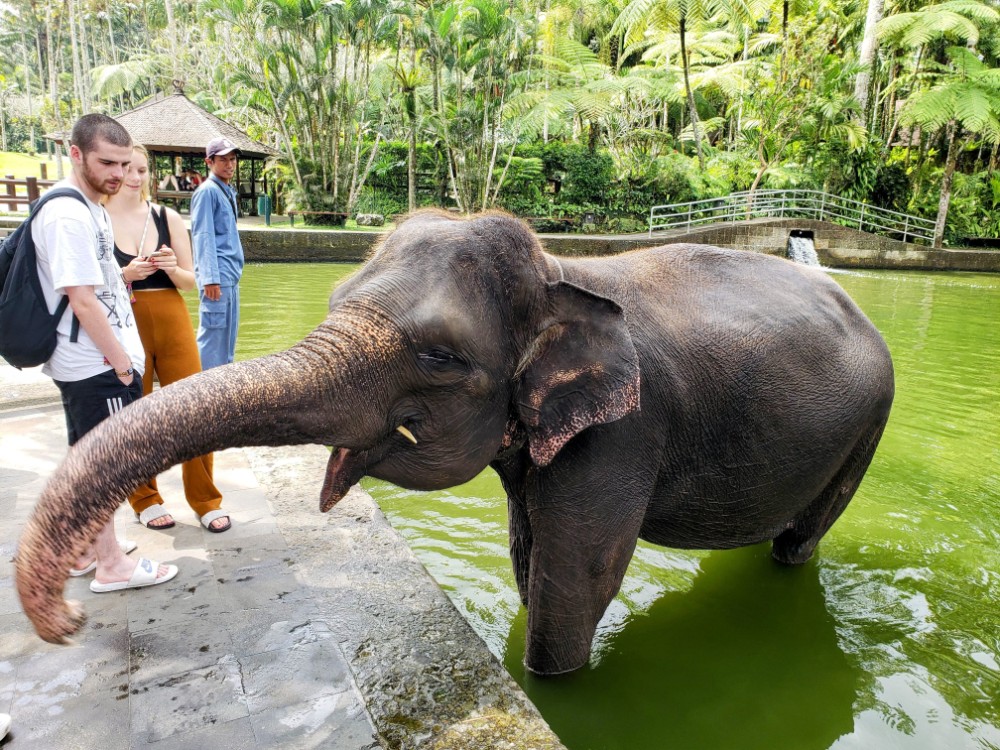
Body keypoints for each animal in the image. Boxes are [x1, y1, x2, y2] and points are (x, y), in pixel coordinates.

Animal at [16, 210, 894, 676]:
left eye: (439, 357)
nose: (69, 622)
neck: (557, 270)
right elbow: (529, 553)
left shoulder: (622, 433)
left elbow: (579, 581)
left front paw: (550, 681)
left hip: (868, 429)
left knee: (801, 542)